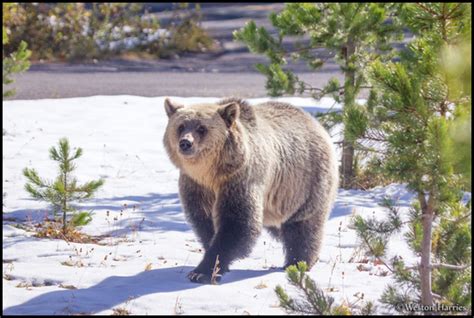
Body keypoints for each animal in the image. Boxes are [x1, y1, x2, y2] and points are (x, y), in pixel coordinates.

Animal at [163, 97, 336, 284]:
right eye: (181, 126)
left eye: (202, 128)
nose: (185, 143)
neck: (211, 174)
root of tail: (316, 124)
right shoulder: (196, 186)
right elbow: (204, 221)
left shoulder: (240, 180)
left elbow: (237, 223)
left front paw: (202, 272)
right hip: (276, 202)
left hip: (305, 184)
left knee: (303, 226)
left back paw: (298, 262)